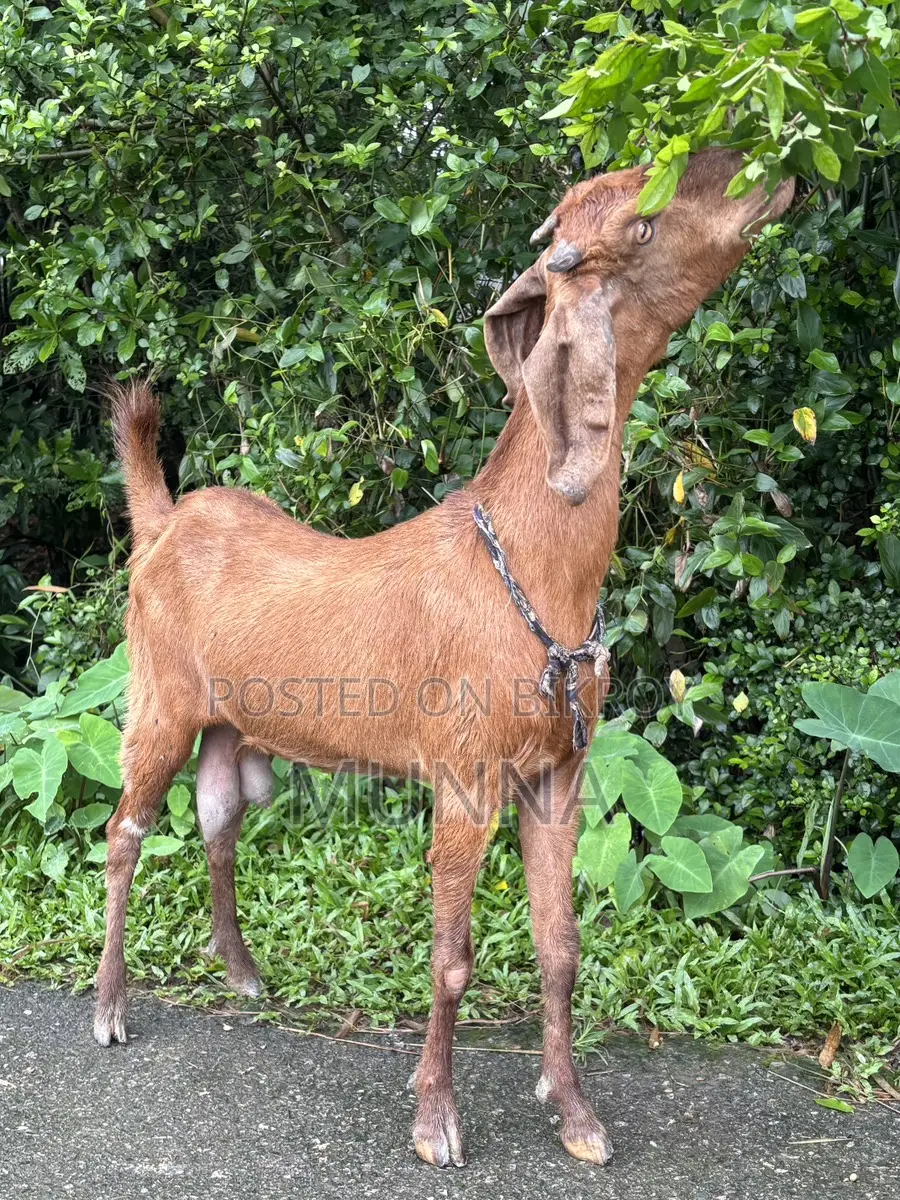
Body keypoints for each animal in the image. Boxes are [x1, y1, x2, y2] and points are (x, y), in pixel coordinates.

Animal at [94, 150, 794, 1168]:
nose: (762, 169)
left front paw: (576, 1115)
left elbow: (561, 945)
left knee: (220, 815)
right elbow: (452, 957)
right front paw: (436, 1122)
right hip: (159, 698)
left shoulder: (560, 769)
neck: (535, 577)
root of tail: (160, 525)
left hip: (232, 721)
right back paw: (109, 1008)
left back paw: (243, 972)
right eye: (643, 223)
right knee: (126, 829)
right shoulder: (465, 775)